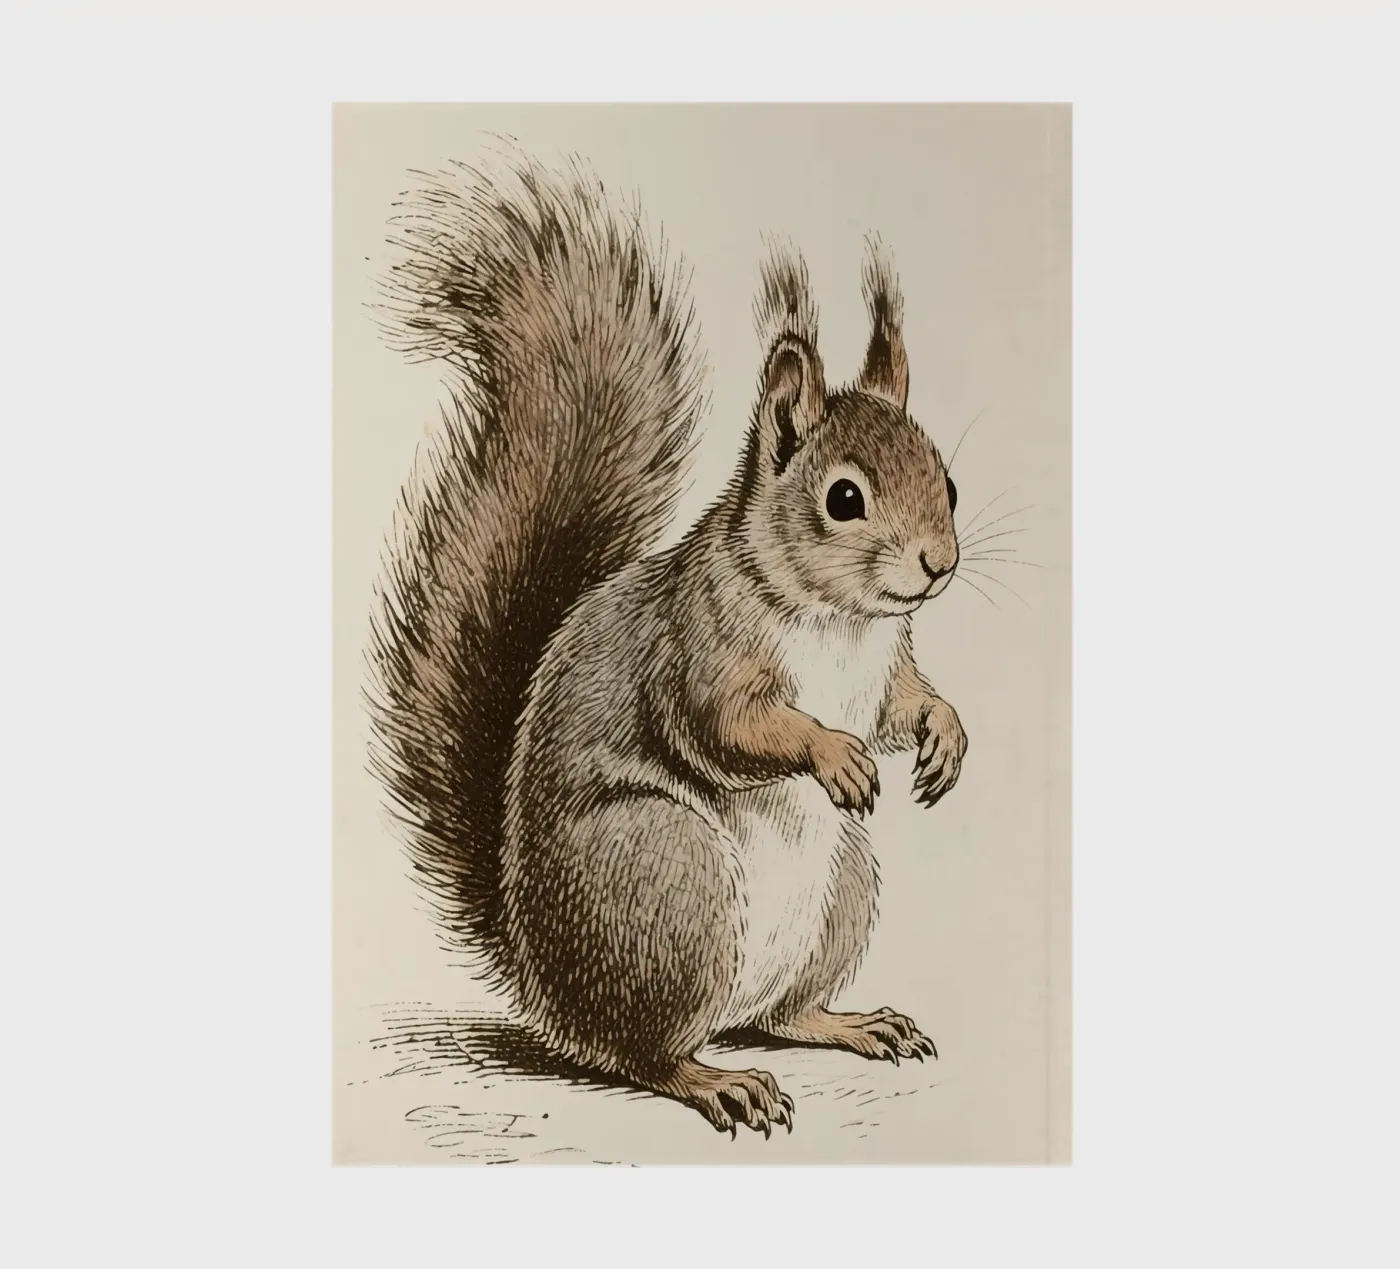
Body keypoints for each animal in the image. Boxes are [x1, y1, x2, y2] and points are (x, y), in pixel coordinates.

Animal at [367, 152, 968, 1138]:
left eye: (947, 482)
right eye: (843, 498)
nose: (939, 563)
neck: (840, 619)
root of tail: (551, 993)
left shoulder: (884, 667)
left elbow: (902, 704)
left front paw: (946, 734)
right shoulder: (698, 646)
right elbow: (726, 725)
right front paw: (832, 753)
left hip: (842, 882)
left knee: (780, 1014)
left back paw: (851, 1021)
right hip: (668, 878)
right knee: (647, 1054)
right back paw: (717, 1079)